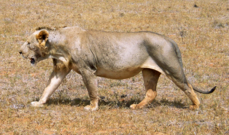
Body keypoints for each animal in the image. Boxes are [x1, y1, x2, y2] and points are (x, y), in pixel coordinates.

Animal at [18, 26, 216, 110]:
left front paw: (92, 108)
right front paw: (39, 103)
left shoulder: (87, 69)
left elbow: (92, 91)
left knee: (187, 86)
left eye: (28, 43)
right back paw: (136, 107)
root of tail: (170, 39)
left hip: (171, 68)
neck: (58, 48)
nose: (19, 51)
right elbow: (48, 88)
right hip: (149, 71)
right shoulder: (60, 69)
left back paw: (195, 106)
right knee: (152, 93)